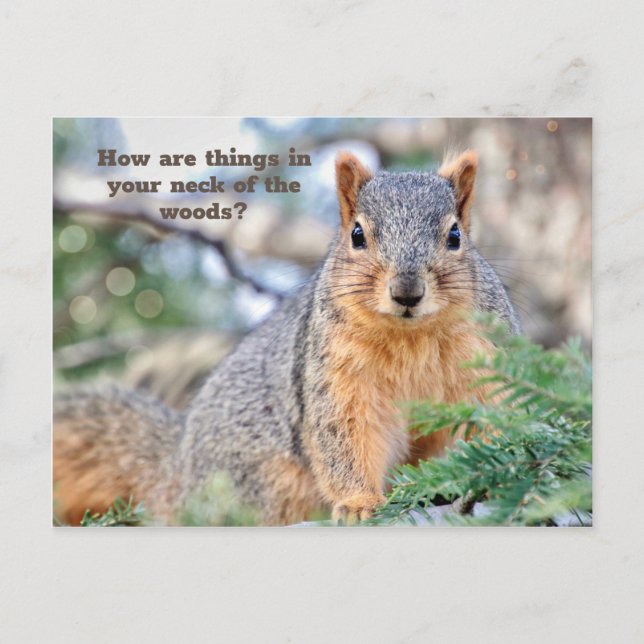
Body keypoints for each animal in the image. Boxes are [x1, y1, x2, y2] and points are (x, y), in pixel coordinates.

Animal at [53, 150, 521, 526]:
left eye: (455, 236)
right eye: (357, 235)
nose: (407, 292)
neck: (410, 336)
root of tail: (177, 470)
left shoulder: (484, 356)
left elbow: (492, 416)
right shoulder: (336, 378)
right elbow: (344, 438)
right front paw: (359, 504)